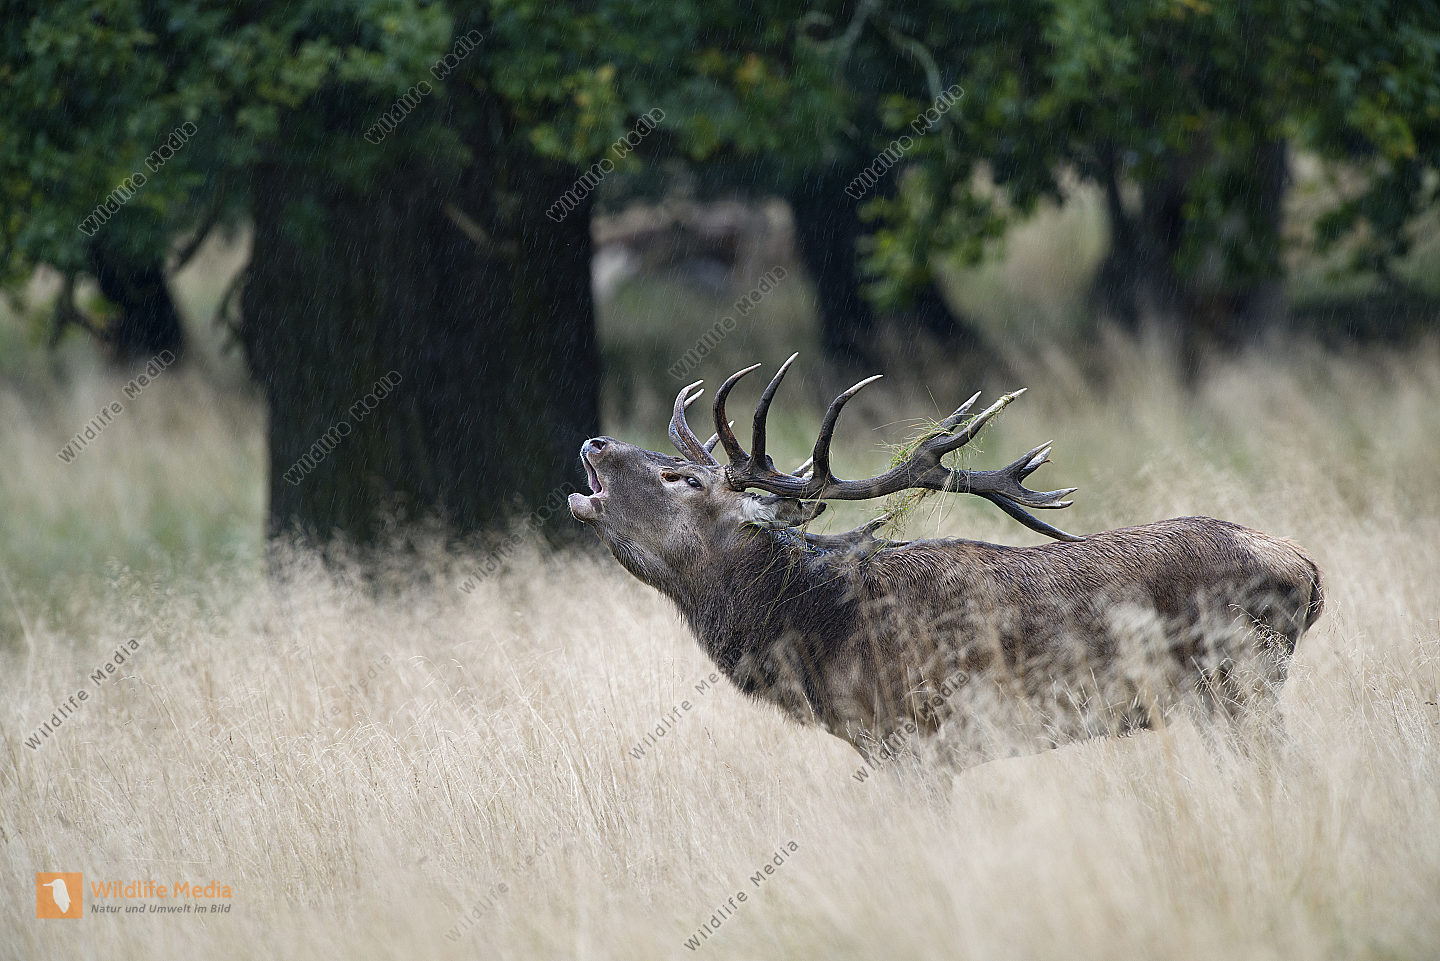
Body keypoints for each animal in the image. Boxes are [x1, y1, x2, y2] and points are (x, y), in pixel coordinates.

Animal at [569, 354, 1324, 767]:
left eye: (682, 479)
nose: (595, 441)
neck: (816, 631)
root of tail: (1308, 572)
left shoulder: (913, 740)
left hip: (1241, 683)